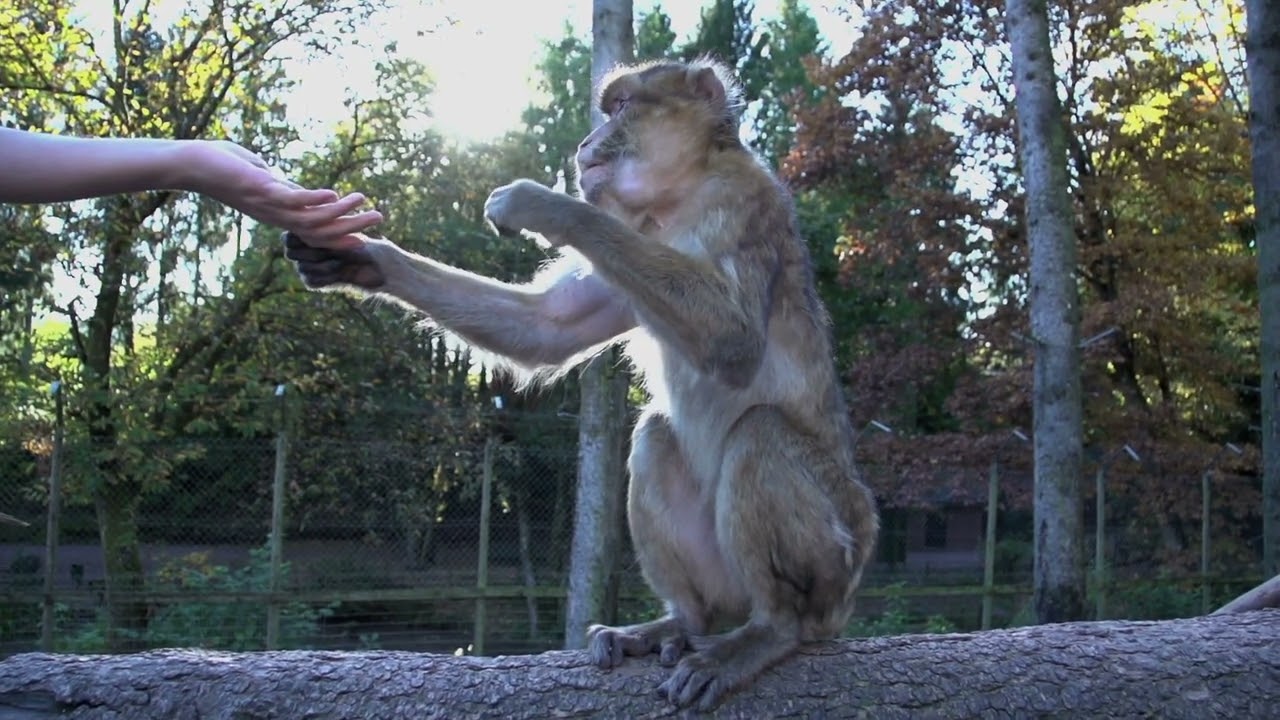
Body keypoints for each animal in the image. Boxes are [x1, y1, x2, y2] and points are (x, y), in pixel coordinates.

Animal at [284, 58, 878, 711]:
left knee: (762, 432)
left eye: (622, 107)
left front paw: (547, 206)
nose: (586, 143)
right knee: (656, 435)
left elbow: (733, 337)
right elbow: (550, 326)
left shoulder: (745, 201)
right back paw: (683, 621)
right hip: (730, 575)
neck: (679, 196)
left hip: (837, 560)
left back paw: (772, 629)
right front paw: (365, 259)